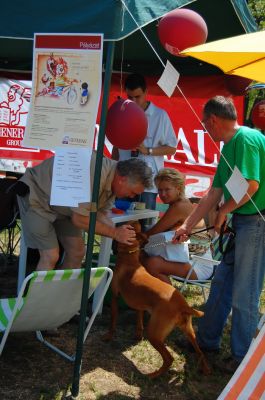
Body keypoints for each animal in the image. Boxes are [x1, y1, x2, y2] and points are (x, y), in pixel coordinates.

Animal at [103, 222, 210, 378]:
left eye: (125, 225)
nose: (117, 226)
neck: (129, 259)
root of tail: (183, 305)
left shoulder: (115, 297)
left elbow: (113, 320)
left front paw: (109, 336)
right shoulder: (140, 306)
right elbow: (139, 322)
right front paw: (137, 335)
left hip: (154, 334)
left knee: (169, 358)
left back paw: (153, 375)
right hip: (189, 332)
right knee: (200, 352)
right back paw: (205, 369)